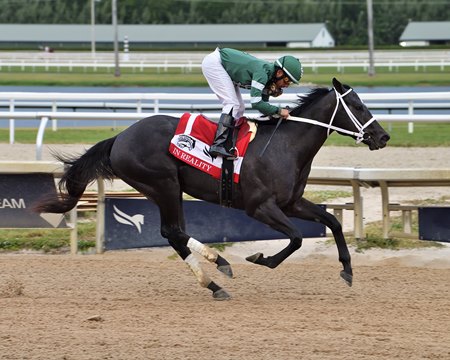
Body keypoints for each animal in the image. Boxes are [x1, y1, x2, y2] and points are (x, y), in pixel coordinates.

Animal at [33, 79, 388, 300]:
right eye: (357, 105)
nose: (383, 136)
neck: (285, 146)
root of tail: (119, 137)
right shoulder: (260, 206)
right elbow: (297, 238)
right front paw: (261, 258)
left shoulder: (291, 203)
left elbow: (333, 222)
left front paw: (347, 270)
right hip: (162, 183)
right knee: (173, 231)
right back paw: (219, 266)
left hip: (166, 188)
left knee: (174, 234)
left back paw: (215, 279)